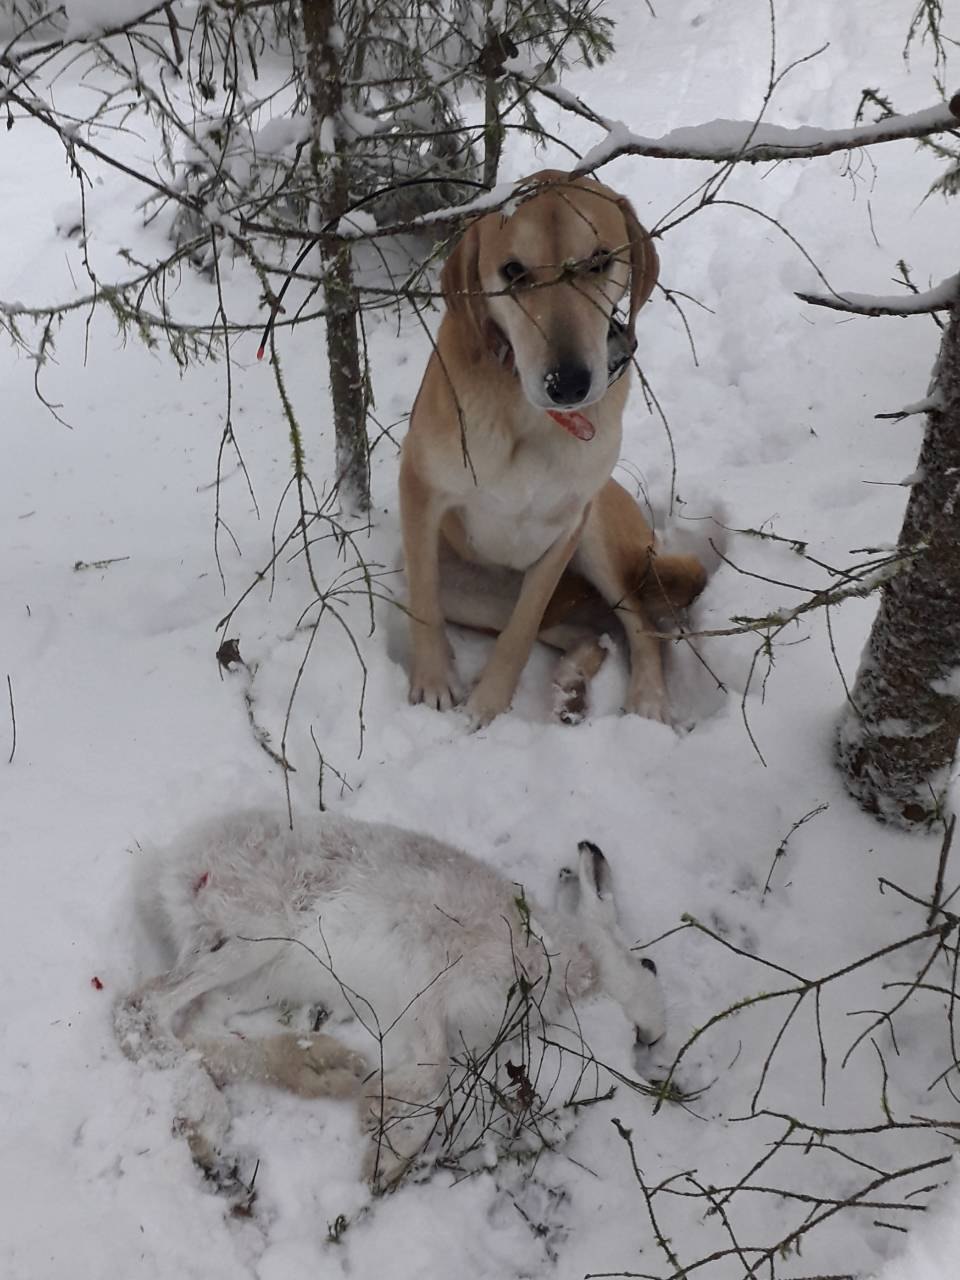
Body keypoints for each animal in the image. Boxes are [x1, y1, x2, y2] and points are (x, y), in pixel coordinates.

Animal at [399, 170, 706, 727]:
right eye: (513, 271)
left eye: (601, 260)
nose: (568, 383)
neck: (529, 418)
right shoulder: (421, 491)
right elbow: (423, 605)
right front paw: (433, 682)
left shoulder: (566, 528)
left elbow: (520, 634)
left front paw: (488, 705)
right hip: (467, 589)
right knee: (588, 629)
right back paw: (571, 682)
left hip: (598, 535)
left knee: (636, 621)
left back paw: (644, 695)